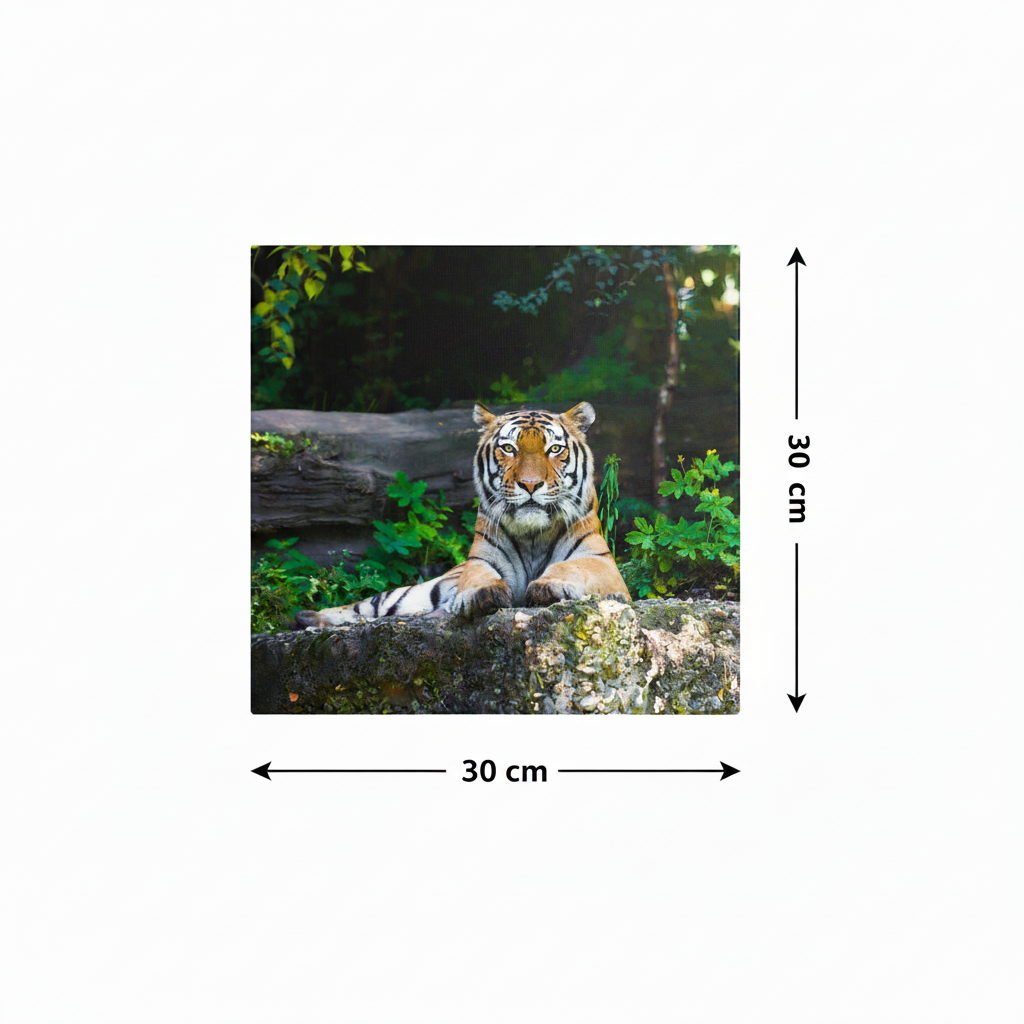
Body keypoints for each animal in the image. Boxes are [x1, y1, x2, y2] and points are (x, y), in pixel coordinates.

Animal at [294, 401, 630, 628]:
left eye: (554, 449)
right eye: (509, 448)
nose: (531, 484)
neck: (534, 535)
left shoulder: (602, 564)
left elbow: (572, 567)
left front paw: (549, 586)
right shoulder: (480, 560)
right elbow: (481, 577)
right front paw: (481, 594)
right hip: (418, 592)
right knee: (367, 605)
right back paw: (307, 618)